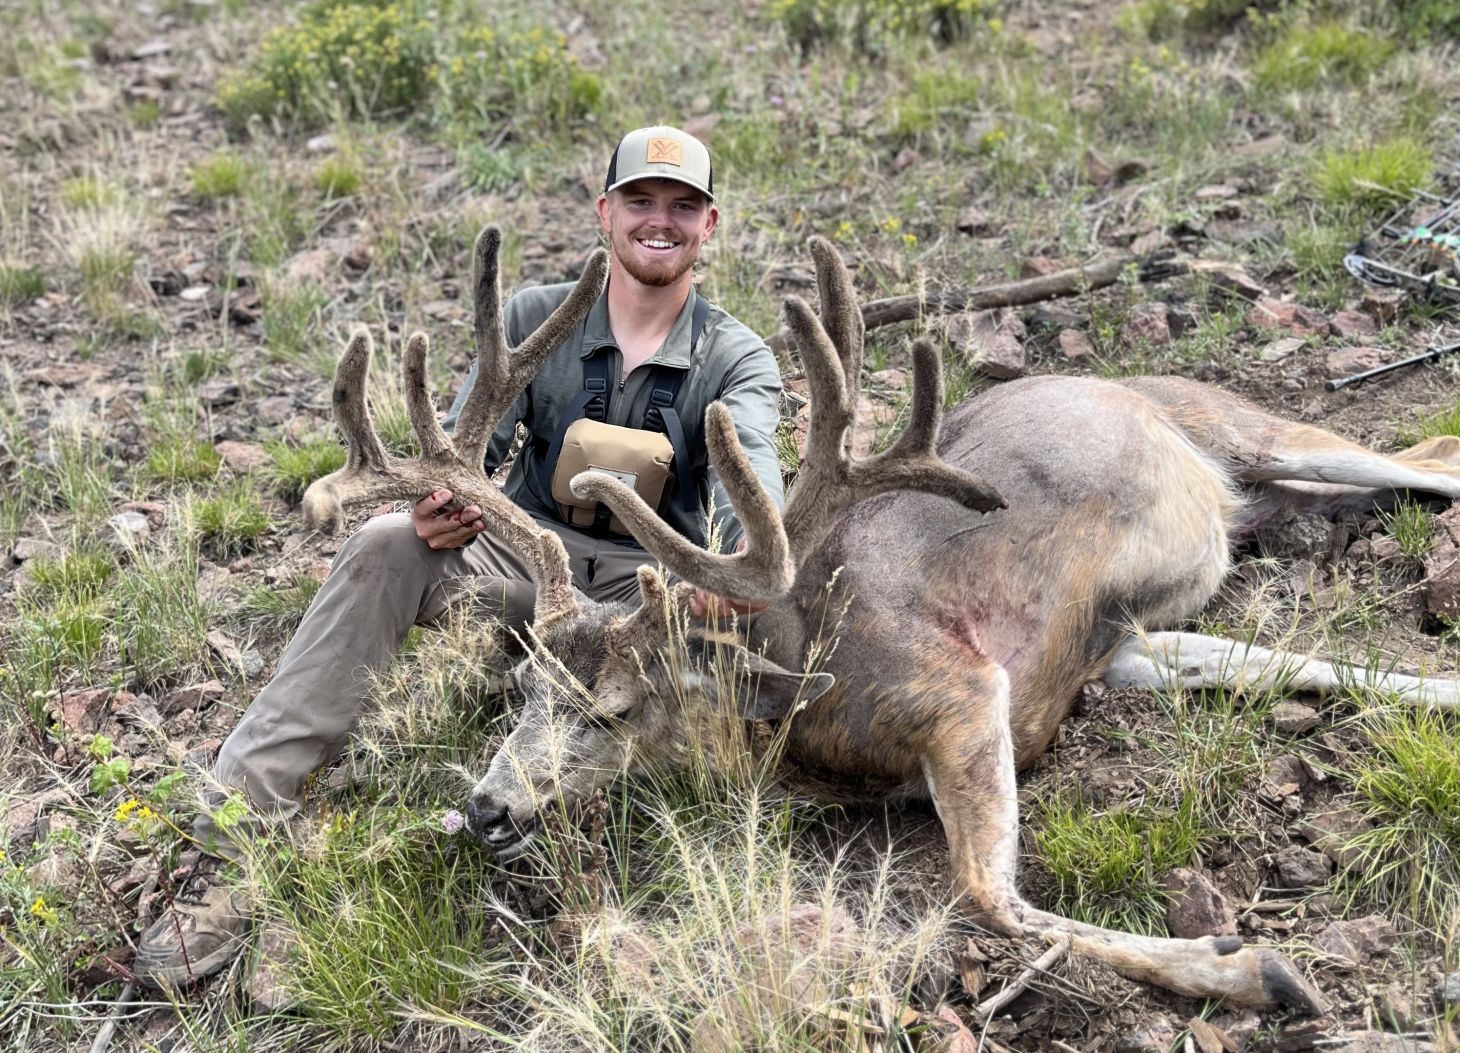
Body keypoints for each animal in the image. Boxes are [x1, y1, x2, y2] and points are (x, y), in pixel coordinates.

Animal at [301, 226, 1460, 1015]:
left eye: (617, 708)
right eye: (529, 682)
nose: (489, 807)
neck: (796, 718)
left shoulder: (965, 689)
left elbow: (984, 893)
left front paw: (1257, 968)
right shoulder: (1080, 662)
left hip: (1251, 427)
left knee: (1426, 455)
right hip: (1156, 619)